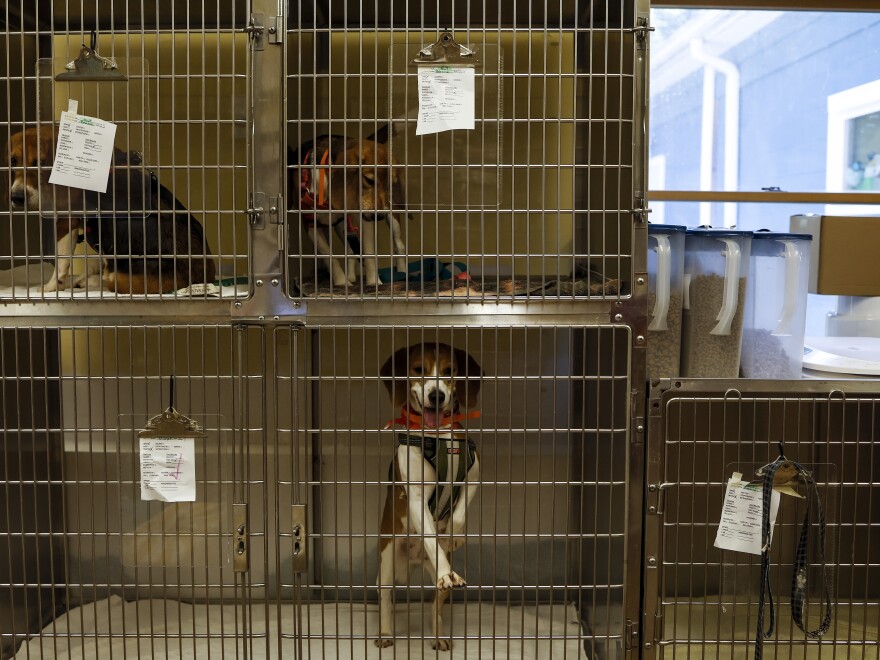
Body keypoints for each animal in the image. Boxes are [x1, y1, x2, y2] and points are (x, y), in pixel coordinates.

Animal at [5, 126, 217, 294]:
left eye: (40, 163)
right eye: (13, 161)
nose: (16, 197)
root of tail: (203, 277)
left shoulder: (66, 220)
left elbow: (62, 261)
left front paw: (50, 287)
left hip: (126, 277)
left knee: (108, 280)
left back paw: (88, 280)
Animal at [292, 134, 410, 286]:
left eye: (389, 185)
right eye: (369, 180)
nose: (379, 216)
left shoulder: (364, 219)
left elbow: (369, 254)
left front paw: (374, 282)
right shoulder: (310, 224)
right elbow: (329, 256)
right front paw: (342, 281)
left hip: (391, 219)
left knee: (399, 245)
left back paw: (402, 272)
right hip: (342, 228)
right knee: (350, 252)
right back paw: (350, 277)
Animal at [372, 342, 482, 652]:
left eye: (449, 370)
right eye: (419, 369)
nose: (437, 395)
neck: (438, 436)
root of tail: (413, 559)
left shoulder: (473, 475)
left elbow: (459, 512)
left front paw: (454, 533)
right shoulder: (417, 500)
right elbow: (432, 538)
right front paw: (446, 569)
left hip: (433, 585)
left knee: (436, 604)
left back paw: (438, 635)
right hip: (387, 561)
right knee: (386, 599)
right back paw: (386, 632)